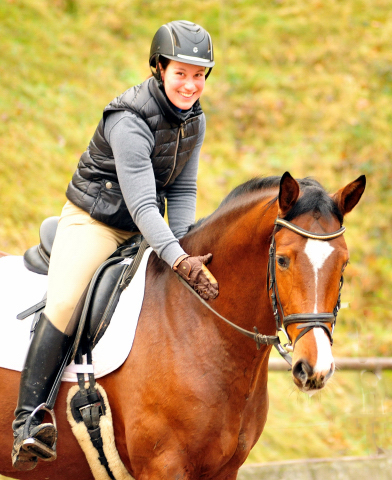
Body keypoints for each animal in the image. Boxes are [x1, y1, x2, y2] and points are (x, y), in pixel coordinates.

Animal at [0, 173, 364, 480]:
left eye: (344, 262)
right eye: (282, 260)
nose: (315, 368)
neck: (200, 324)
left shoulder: (224, 471)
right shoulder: (163, 467)